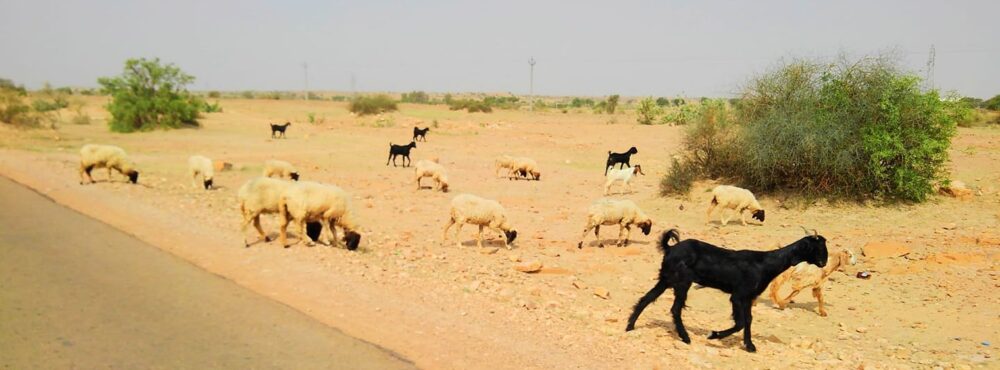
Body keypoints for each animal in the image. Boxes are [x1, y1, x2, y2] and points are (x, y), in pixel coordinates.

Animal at [624, 228, 828, 352]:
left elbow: (748, 320)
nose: (824, 262)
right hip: (682, 282)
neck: (765, 263)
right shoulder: (738, 296)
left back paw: (630, 326)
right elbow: (740, 322)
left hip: (666, 279)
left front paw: (750, 345)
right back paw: (685, 337)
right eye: (817, 248)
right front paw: (714, 335)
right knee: (675, 309)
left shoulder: (748, 298)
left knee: (646, 299)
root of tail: (670, 248)